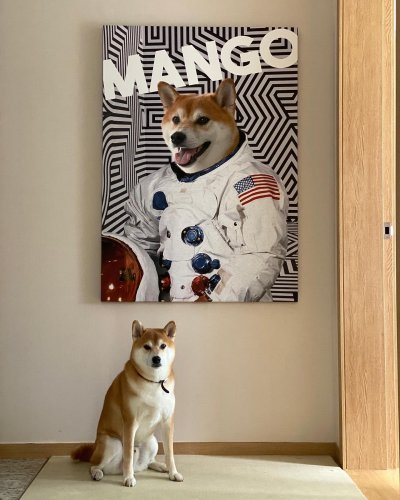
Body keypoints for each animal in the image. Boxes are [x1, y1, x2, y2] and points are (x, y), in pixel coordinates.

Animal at [71, 320, 183, 487]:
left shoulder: (167, 422)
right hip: (112, 444)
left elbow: (170, 453)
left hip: (152, 442)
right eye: (147, 346)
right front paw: (128, 478)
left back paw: (159, 466)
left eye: (163, 346)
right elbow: (128, 455)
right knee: (94, 465)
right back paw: (98, 473)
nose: (156, 358)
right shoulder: (130, 421)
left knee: (147, 462)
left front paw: (173, 473)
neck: (153, 382)